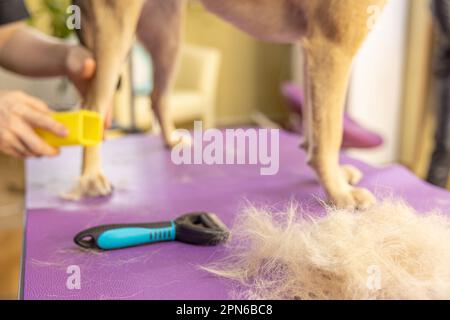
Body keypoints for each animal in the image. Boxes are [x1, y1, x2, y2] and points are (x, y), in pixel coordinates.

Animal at [69, 0, 386, 209]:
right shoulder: (333, 46)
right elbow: (331, 132)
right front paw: (339, 192)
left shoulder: (312, 52)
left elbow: (315, 123)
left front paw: (334, 175)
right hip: (116, 32)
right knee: (93, 105)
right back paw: (90, 177)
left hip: (167, 34)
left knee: (158, 96)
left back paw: (170, 140)